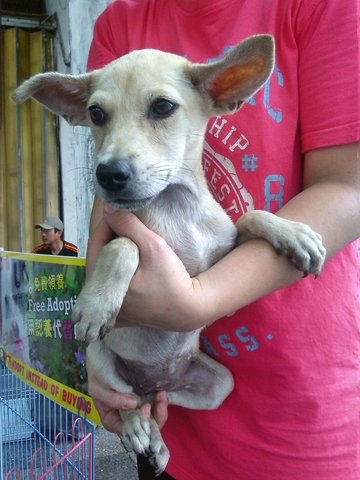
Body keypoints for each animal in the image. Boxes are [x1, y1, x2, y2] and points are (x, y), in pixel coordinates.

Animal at [13, 35, 326, 474]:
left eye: (163, 107)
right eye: (96, 113)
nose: (108, 174)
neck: (177, 210)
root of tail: (153, 380)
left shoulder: (221, 257)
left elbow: (249, 218)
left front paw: (293, 234)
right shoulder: (117, 241)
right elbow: (124, 245)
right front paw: (97, 304)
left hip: (216, 385)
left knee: (155, 403)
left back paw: (156, 437)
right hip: (100, 361)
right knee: (129, 403)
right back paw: (138, 431)